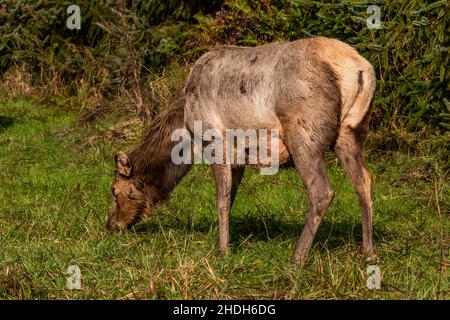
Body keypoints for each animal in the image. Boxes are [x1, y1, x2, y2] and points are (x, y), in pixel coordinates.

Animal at [106, 37, 376, 264]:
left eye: (114, 189)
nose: (111, 224)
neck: (187, 127)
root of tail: (359, 70)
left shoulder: (215, 142)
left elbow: (221, 199)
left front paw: (222, 251)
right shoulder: (238, 158)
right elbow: (231, 198)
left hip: (303, 134)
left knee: (321, 191)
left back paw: (297, 258)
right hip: (351, 132)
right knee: (363, 180)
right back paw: (367, 252)